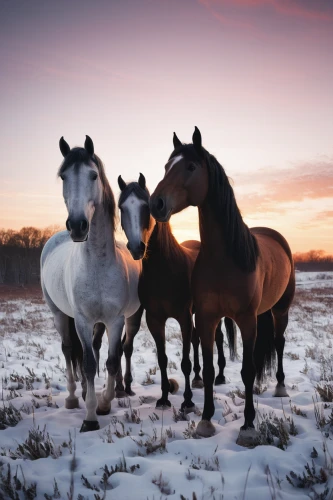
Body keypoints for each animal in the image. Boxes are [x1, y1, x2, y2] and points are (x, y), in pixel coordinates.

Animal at [40, 136, 141, 430]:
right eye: (63, 176)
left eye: (93, 175)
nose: (77, 225)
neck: (97, 263)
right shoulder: (83, 320)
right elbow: (86, 363)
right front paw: (90, 417)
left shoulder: (115, 321)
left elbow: (110, 361)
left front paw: (105, 403)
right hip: (59, 314)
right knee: (68, 350)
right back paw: (74, 397)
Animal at [116, 174, 236, 412]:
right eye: (121, 207)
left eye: (146, 206)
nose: (136, 247)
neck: (165, 269)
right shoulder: (155, 319)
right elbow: (163, 359)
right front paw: (164, 398)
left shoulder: (183, 317)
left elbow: (185, 361)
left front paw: (188, 401)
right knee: (198, 339)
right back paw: (199, 378)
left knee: (216, 338)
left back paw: (219, 376)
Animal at [150, 126, 294, 446]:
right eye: (165, 166)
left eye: (191, 166)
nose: (156, 204)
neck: (225, 257)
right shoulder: (206, 317)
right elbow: (208, 365)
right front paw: (205, 419)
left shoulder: (247, 320)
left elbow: (248, 370)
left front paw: (249, 425)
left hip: (280, 310)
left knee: (279, 343)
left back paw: (280, 386)